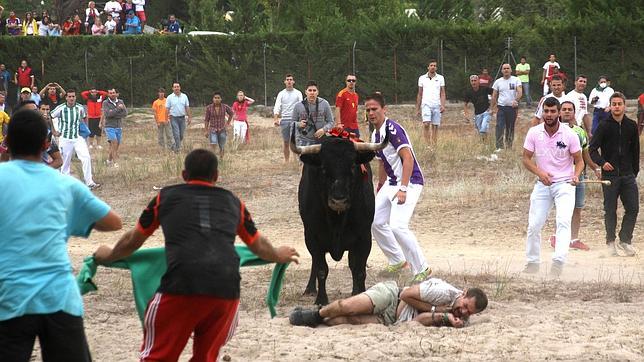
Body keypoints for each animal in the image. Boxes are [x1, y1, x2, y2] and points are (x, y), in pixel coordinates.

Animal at [292, 132, 388, 304]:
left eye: (352, 166)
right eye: (323, 168)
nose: (339, 200)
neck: (337, 221)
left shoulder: (364, 238)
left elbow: (359, 270)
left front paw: (359, 294)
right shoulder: (312, 237)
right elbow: (321, 269)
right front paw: (321, 300)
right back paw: (310, 289)